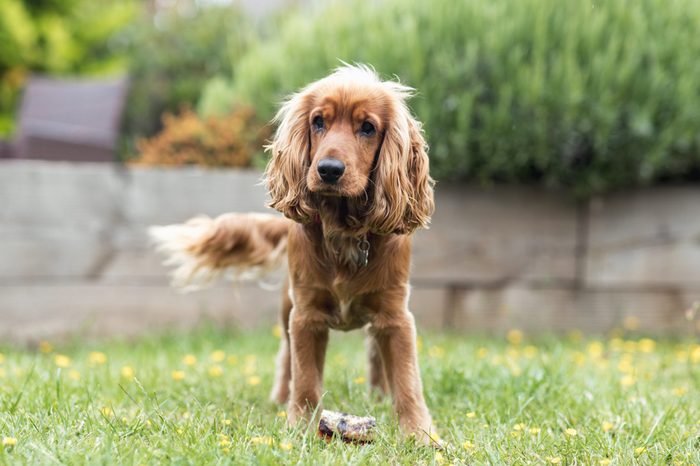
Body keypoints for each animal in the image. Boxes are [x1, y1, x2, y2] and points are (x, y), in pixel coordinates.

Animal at [152, 64, 438, 440]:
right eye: (318, 122)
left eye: (368, 127)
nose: (328, 170)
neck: (344, 232)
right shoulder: (305, 314)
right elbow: (304, 378)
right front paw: (301, 426)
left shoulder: (396, 315)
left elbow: (406, 379)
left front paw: (420, 434)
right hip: (287, 304)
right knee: (286, 357)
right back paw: (279, 397)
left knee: (375, 353)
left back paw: (378, 396)